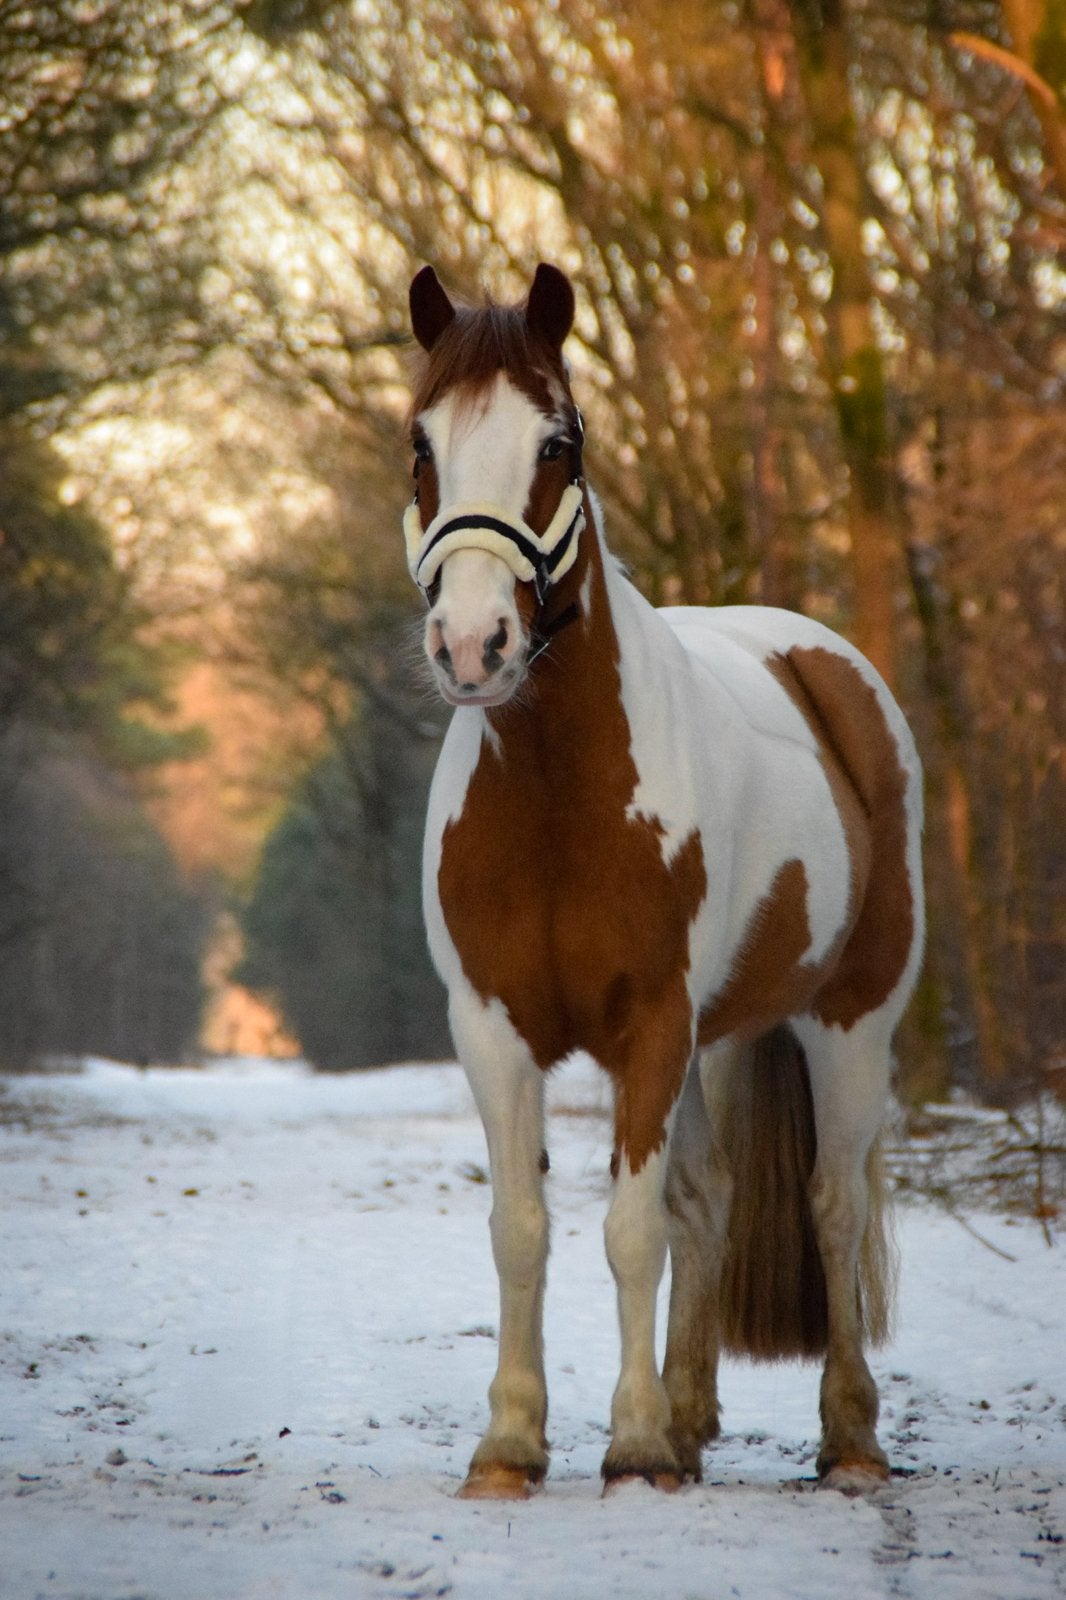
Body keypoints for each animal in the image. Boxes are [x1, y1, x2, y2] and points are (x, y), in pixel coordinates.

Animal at [403, 261, 924, 1500]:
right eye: (418, 444)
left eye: (557, 443)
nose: (472, 645)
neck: (558, 797)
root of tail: (830, 671)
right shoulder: (491, 1028)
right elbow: (525, 1226)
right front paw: (512, 1442)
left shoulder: (647, 1026)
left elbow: (628, 1228)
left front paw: (632, 1445)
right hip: (725, 1036)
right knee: (713, 1198)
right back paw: (693, 1419)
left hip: (848, 1022)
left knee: (832, 1204)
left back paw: (848, 1437)